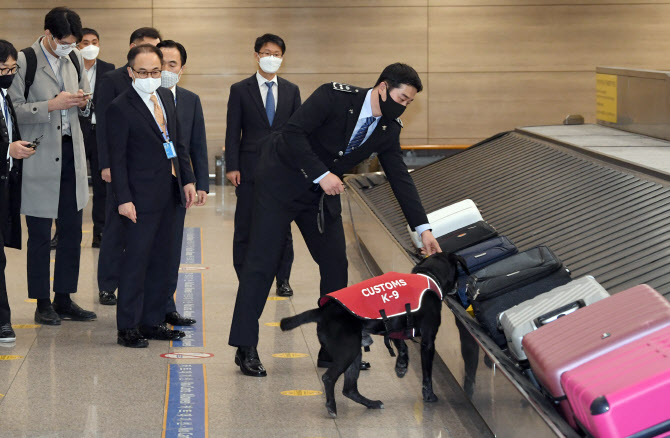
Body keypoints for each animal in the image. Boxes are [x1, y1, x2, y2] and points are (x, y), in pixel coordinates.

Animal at [280, 252, 460, 416]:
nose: (460, 288)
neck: (429, 275)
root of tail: (322, 311)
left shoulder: (395, 327)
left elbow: (403, 347)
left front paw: (401, 366)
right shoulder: (428, 341)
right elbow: (427, 375)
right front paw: (429, 395)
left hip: (354, 354)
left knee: (349, 389)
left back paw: (371, 403)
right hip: (348, 351)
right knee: (329, 378)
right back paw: (332, 406)